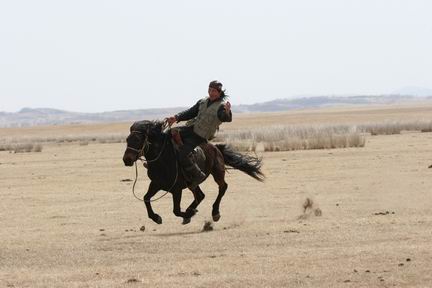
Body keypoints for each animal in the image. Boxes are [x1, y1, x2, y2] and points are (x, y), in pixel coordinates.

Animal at [121, 120, 264, 224]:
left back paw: (214, 213)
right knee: (200, 195)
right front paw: (156, 218)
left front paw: (189, 214)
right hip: (192, 183)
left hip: (217, 173)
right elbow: (146, 198)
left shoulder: (176, 189)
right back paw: (191, 210)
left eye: (138, 140)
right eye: (127, 139)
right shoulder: (156, 184)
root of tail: (216, 148)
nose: (127, 159)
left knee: (222, 187)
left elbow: (176, 210)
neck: (163, 160)